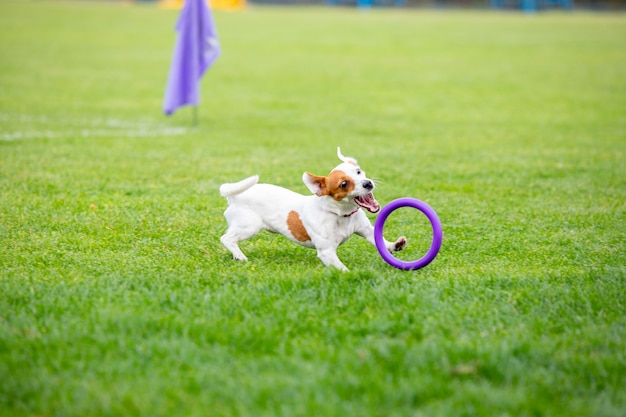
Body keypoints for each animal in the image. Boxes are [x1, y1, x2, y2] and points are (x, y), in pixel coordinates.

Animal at [218, 148, 404, 272]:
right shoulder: (327, 252)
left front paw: (396, 245)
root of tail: (234, 196)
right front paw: (349, 275)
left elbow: (382, 242)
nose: (368, 183)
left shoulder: (367, 231)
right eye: (344, 184)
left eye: (358, 171)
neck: (341, 214)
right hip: (248, 227)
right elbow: (341, 268)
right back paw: (239, 256)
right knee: (226, 238)